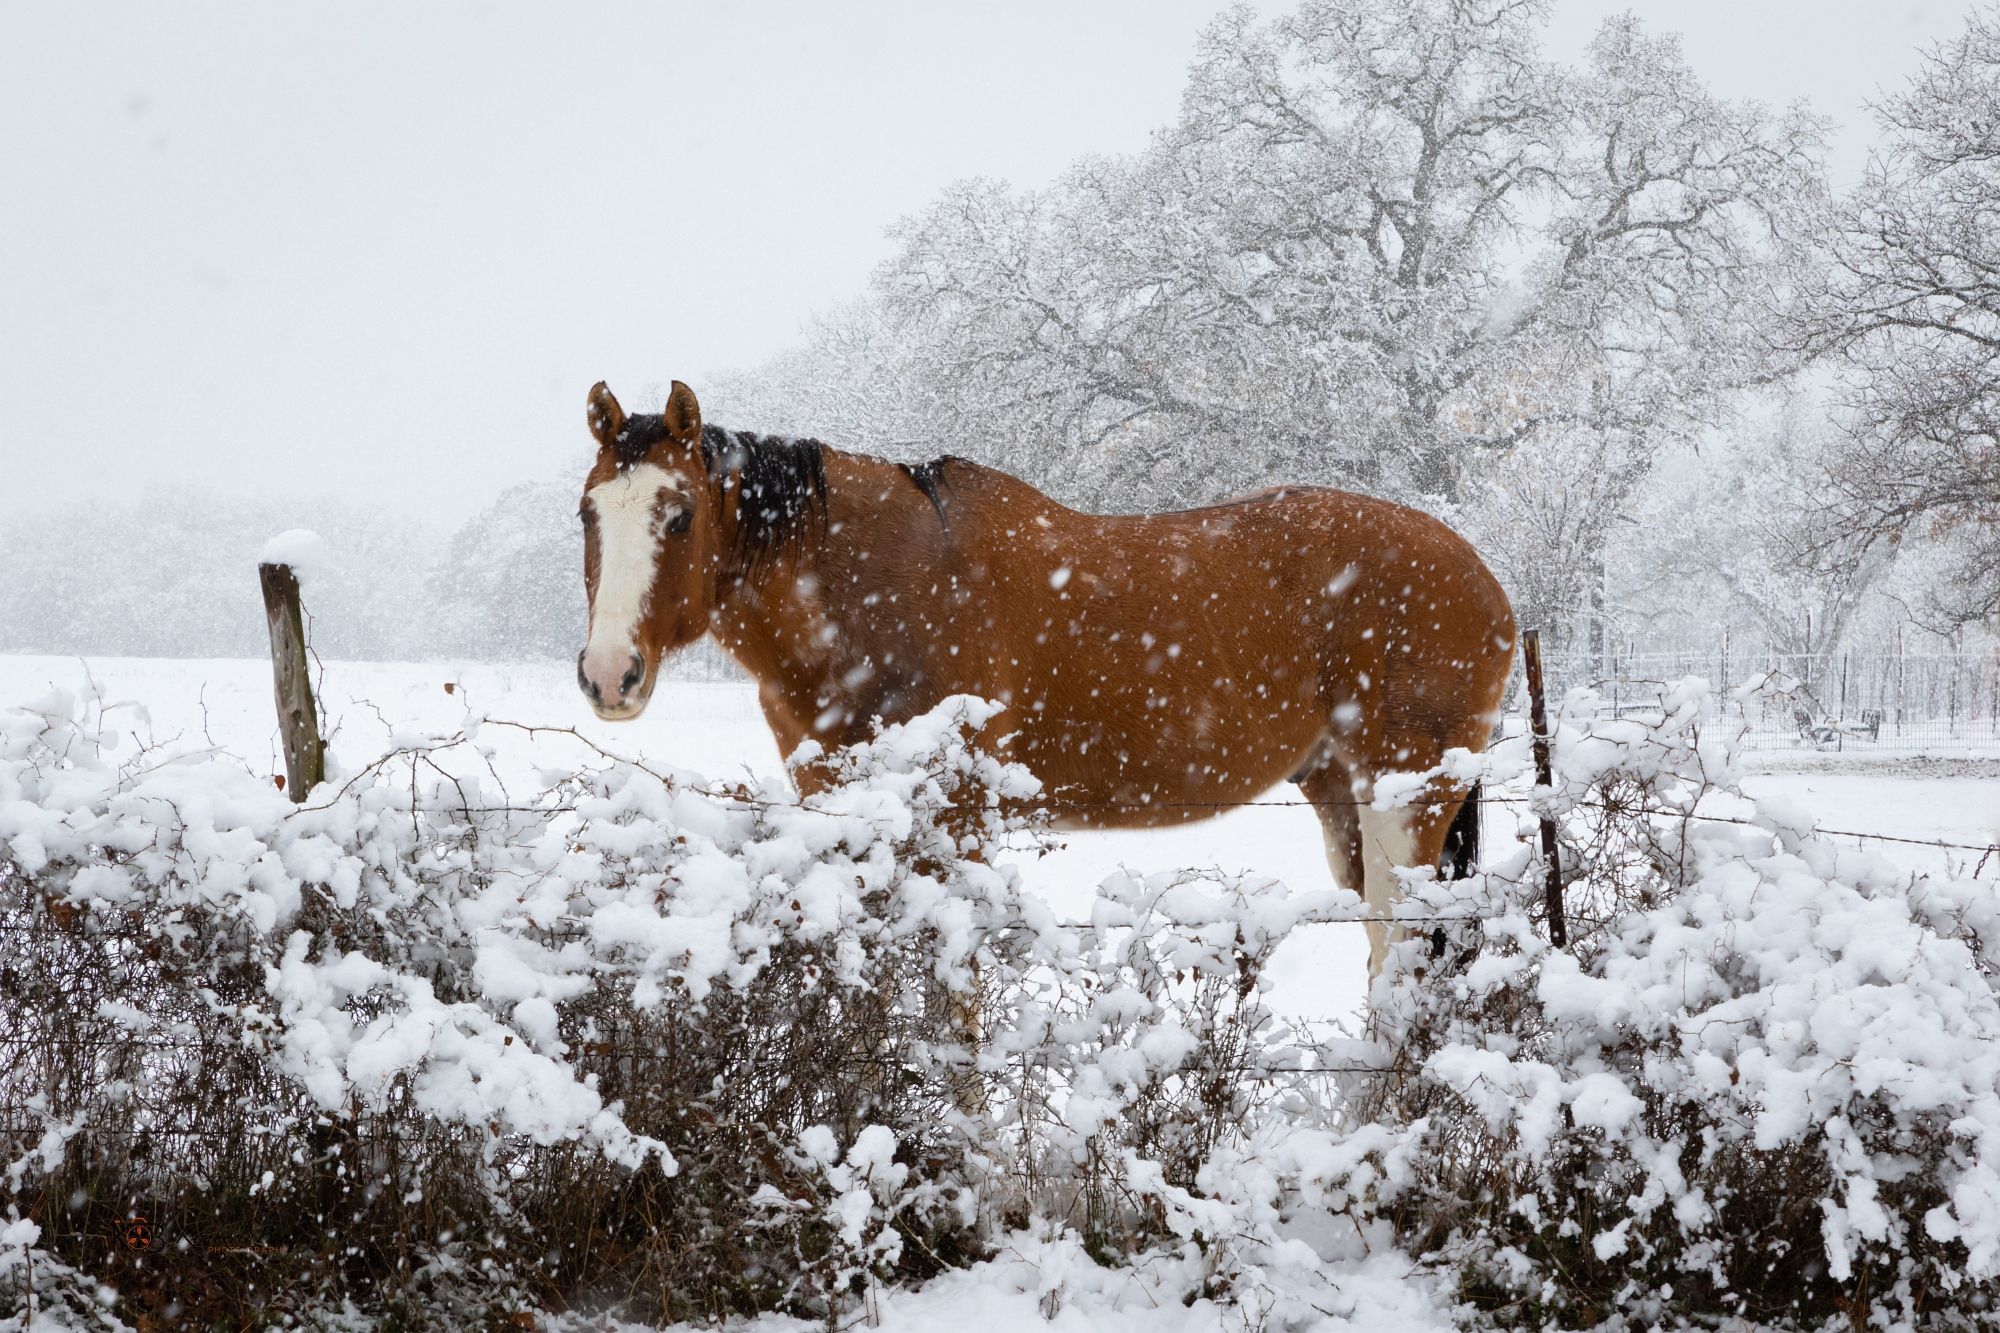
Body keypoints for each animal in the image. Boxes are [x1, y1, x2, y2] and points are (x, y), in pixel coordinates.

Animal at [580, 378, 1512, 972]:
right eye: (589, 512)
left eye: (680, 513)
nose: (609, 674)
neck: (880, 587)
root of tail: (1485, 579)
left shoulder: (954, 821)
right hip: (1341, 796)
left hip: (1403, 801)